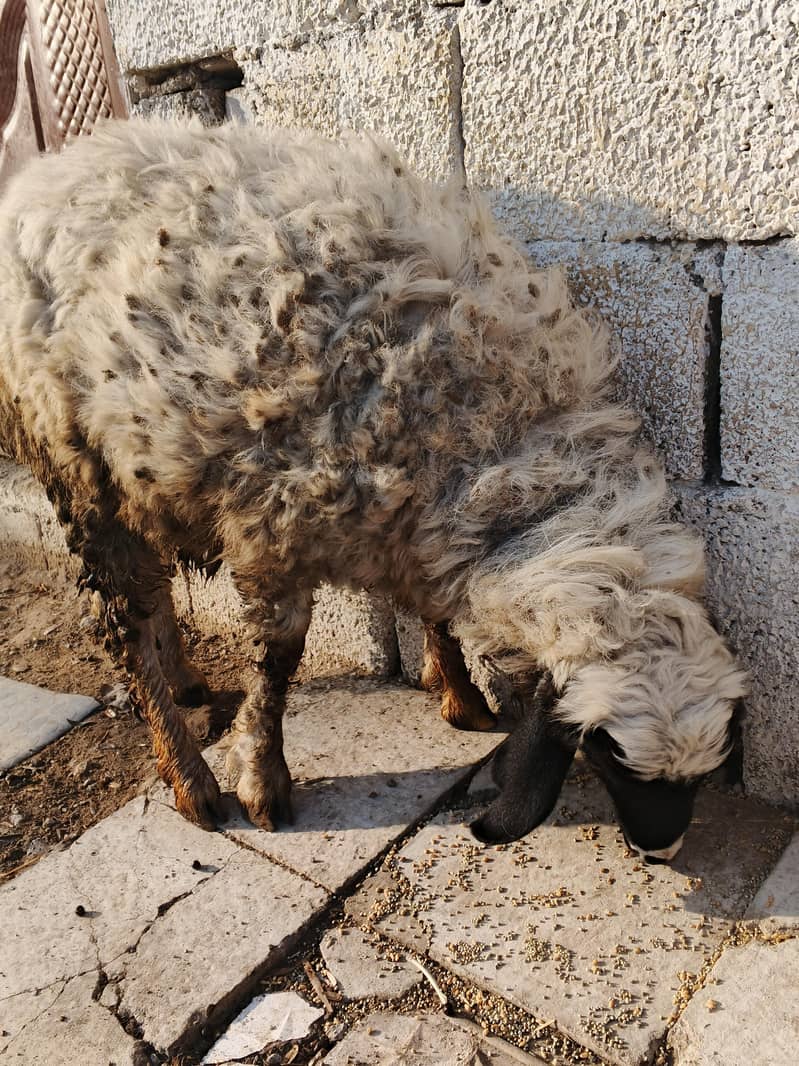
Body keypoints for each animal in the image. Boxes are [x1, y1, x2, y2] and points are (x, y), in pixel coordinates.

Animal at [0, 118, 748, 861]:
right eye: (606, 757)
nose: (662, 850)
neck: (498, 433)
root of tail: (52, 168)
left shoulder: (422, 518)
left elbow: (436, 613)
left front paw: (460, 695)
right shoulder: (272, 528)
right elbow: (276, 662)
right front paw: (262, 780)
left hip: (138, 478)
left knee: (153, 593)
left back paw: (186, 684)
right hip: (75, 464)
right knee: (123, 619)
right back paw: (190, 778)